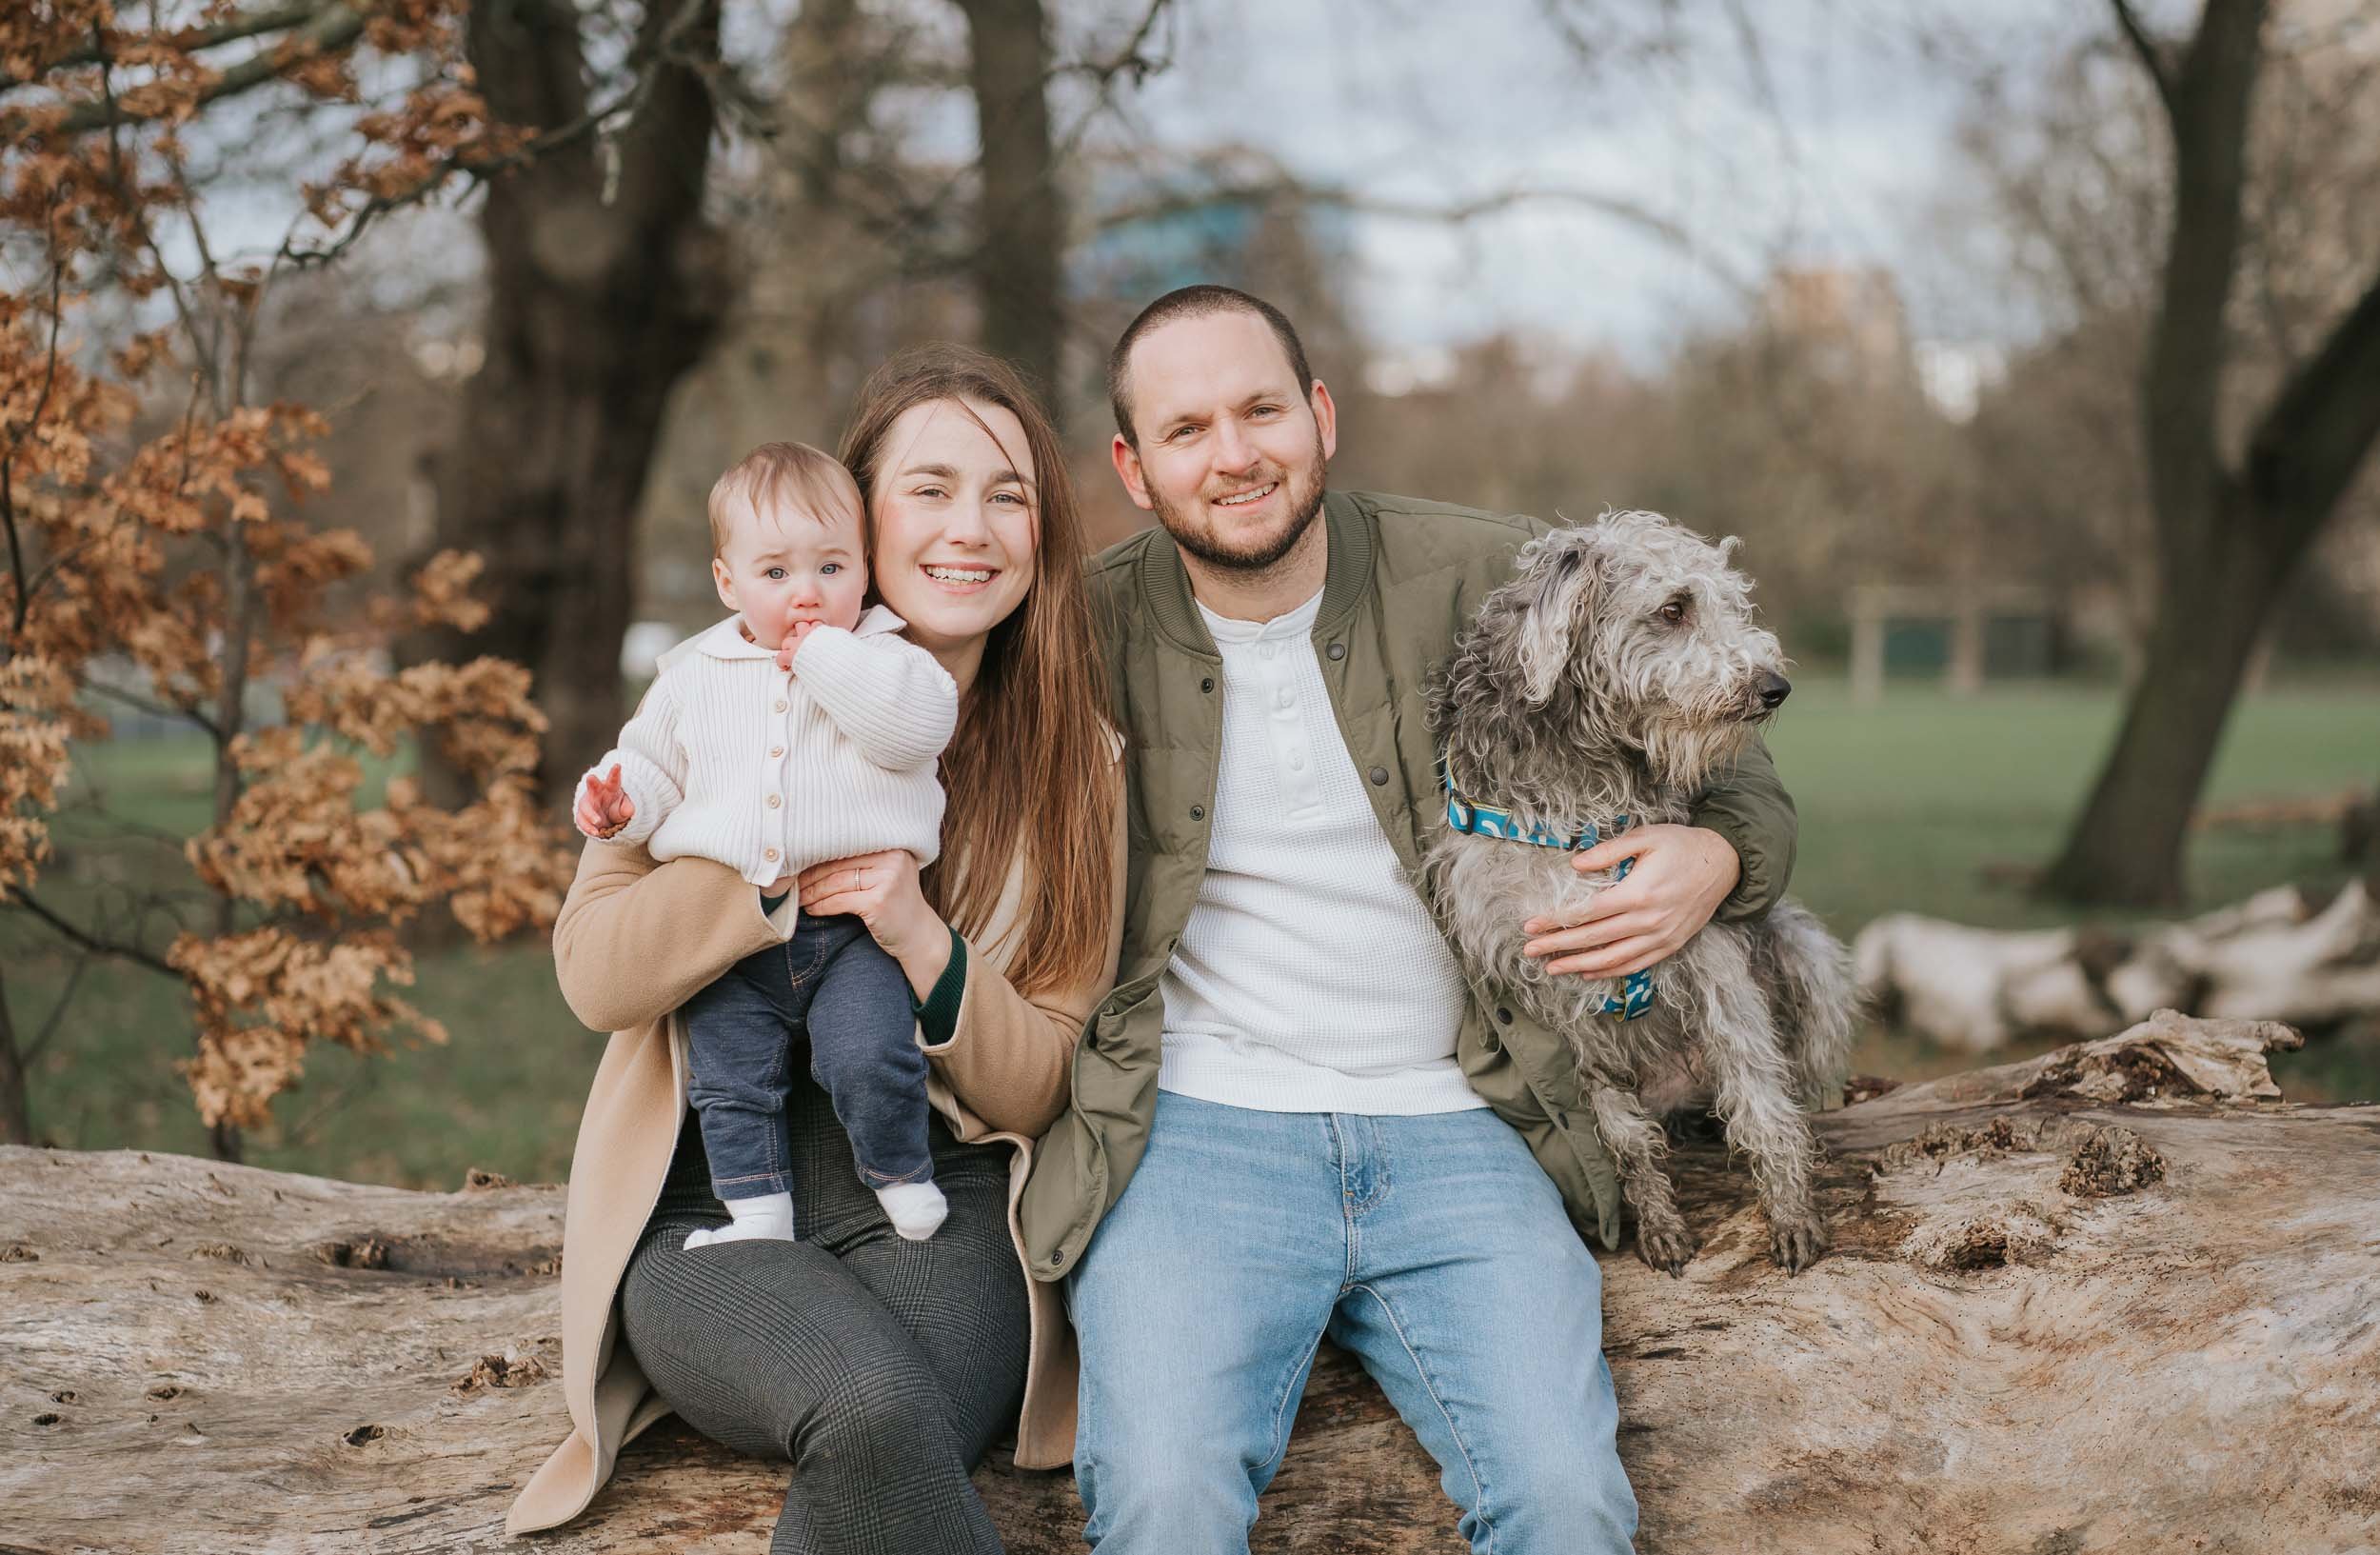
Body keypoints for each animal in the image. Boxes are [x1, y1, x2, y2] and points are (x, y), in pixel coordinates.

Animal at [1418, 511, 1847, 1276]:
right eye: (1673, 608)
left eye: (1731, 601)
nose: (1774, 686)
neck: (1578, 786)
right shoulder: (1547, 994)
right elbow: (1619, 1135)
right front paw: (1658, 1220)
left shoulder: (1700, 940)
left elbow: (1758, 1092)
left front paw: (1791, 1209)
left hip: (1804, 951)